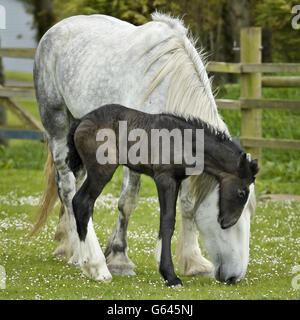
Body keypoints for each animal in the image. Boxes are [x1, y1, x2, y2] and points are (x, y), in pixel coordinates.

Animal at [67, 104, 258, 286]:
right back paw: (98, 268)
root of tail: (82, 120)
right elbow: (167, 221)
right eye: (242, 192)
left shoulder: (177, 180)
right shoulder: (164, 178)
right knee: (82, 202)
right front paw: (170, 276)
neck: (183, 141)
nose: (228, 222)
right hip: (101, 171)